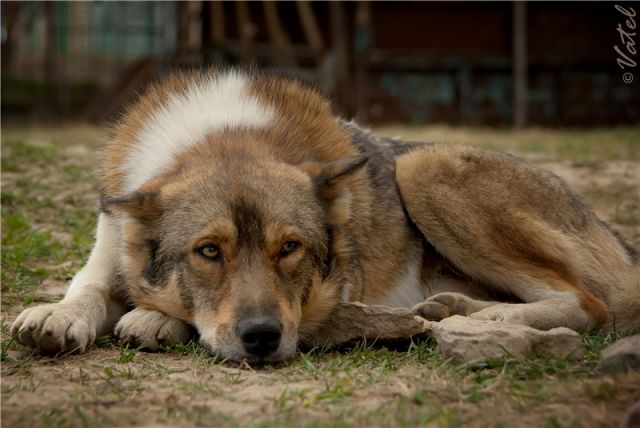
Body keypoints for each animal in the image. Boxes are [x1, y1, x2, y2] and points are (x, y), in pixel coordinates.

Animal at [11, 68, 640, 362]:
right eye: (209, 252)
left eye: (289, 249)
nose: (262, 339)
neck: (227, 134)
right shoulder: (110, 243)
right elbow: (89, 287)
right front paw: (58, 316)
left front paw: (153, 320)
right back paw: (452, 309)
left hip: (424, 169)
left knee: (588, 303)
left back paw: (480, 319)